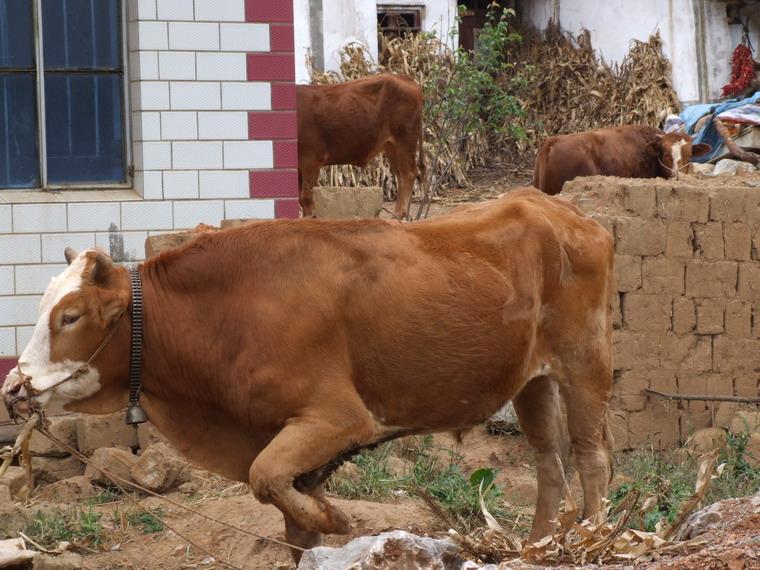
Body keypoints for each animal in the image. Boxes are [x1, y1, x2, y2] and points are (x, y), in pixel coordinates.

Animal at [0, 189, 616, 560]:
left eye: (70, 315)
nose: (13, 387)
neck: (226, 310)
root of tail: (556, 208)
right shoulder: (297, 450)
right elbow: (291, 520)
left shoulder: (338, 420)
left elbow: (264, 478)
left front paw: (338, 518)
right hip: (532, 380)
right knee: (549, 462)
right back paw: (535, 548)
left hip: (585, 362)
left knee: (590, 458)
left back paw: (592, 539)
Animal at [296, 72, 428, 219]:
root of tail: (403, 77)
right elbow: (301, 199)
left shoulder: (311, 160)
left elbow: (306, 197)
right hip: (391, 146)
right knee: (400, 174)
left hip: (405, 140)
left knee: (409, 173)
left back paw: (398, 214)